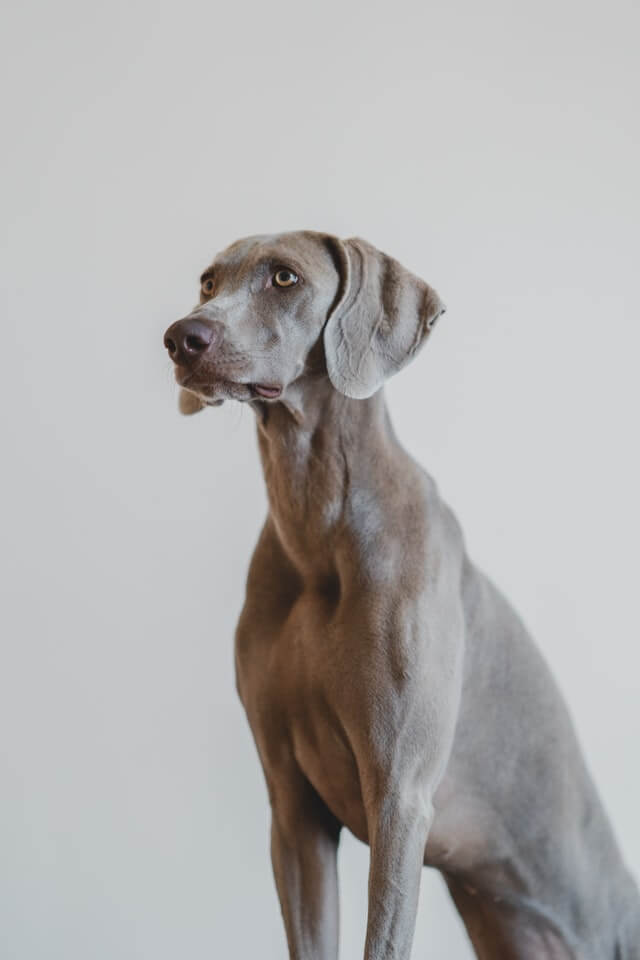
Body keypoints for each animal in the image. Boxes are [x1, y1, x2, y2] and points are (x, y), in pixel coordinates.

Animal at [165, 229, 640, 956]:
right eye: (208, 282)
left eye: (284, 277)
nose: (182, 336)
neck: (316, 530)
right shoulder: (292, 806)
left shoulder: (399, 798)